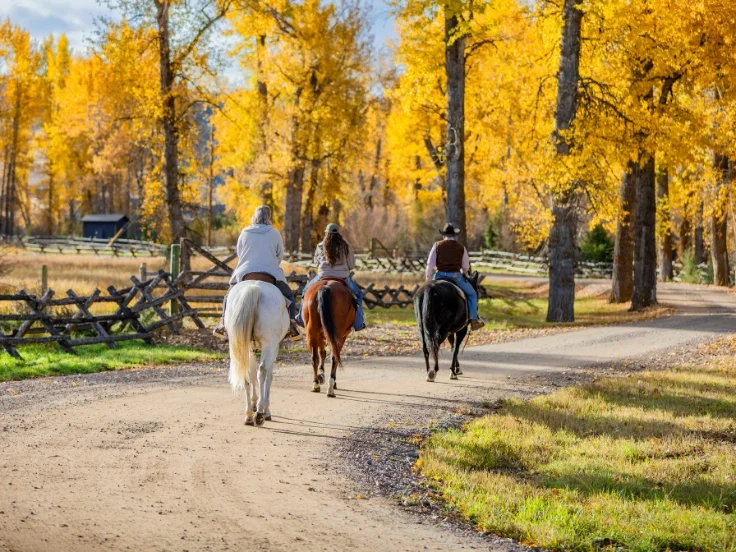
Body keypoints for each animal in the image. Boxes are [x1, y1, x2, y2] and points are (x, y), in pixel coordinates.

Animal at [225, 280, 289, 427]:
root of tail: (254, 288)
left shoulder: (251, 349)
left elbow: (252, 374)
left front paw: (254, 403)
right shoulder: (274, 348)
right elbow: (268, 377)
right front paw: (266, 410)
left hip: (240, 346)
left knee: (246, 374)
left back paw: (249, 414)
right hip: (269, 345)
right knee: (263, 371)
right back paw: (259, 413)